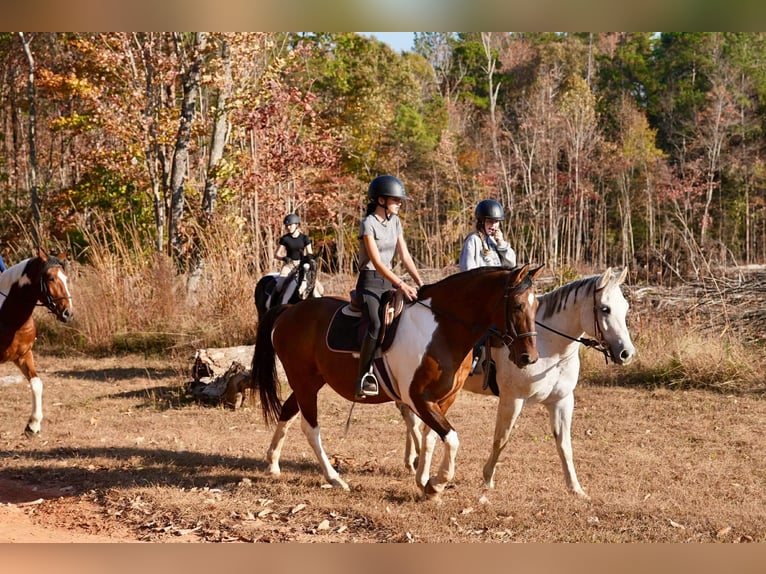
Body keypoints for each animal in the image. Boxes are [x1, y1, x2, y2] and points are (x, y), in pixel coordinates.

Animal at [0, 248, 74, 437]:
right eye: (50, 278)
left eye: (66, 278)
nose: (68, 313)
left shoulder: (23, 355)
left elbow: (36, 384)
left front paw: (33, 425)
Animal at [250, 264, 544, 500]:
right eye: (517, 305)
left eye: (537, 306)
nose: (529, 357)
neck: (442, 329)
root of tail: (290, 310)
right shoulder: (418, 397)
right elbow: (451, 438)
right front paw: (437, 483)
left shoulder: (443, 398)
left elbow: (430, 437)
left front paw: (423, 480)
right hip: (305, 382)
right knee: (311, 428)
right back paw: (334, 478)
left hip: (309, 381)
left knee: (287, 411)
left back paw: (273, 463)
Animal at [407, 267, 635, 499]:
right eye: (605, 309)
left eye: (625, 307)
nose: (626, 353)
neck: (548, 346)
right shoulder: (513, 399)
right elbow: (501, 439)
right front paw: (487, 479)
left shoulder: (562, 401)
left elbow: (564, 445)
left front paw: (576, 488)